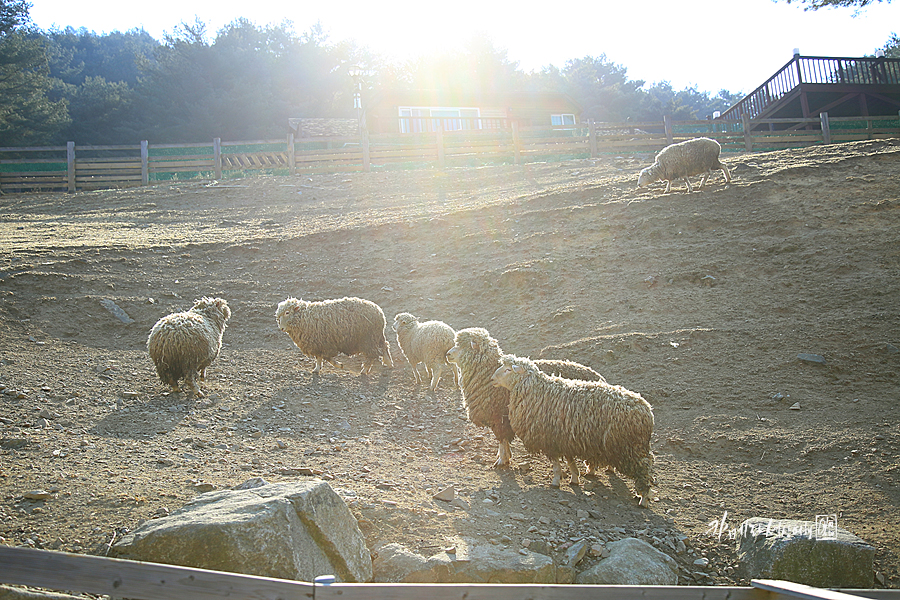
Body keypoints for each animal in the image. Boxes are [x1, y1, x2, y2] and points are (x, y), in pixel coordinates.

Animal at [448, 328, 608, 468]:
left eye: (461, 345)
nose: (447, 354)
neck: (487, 373)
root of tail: (600, 378)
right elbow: (503, 441)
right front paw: (505, 456)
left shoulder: (500, 417)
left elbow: (502, 439)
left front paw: (502, 460)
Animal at [492, 354, 652, 504]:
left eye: (508, 370)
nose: (493, 378)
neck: (536, 391)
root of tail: (647, 411)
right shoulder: (565, 438)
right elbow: (570, 461)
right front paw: (575, 477)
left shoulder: (550, 439)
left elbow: (556, 464)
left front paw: (556, 481)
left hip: (631, 448)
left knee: (645, 469)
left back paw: (643, 498)